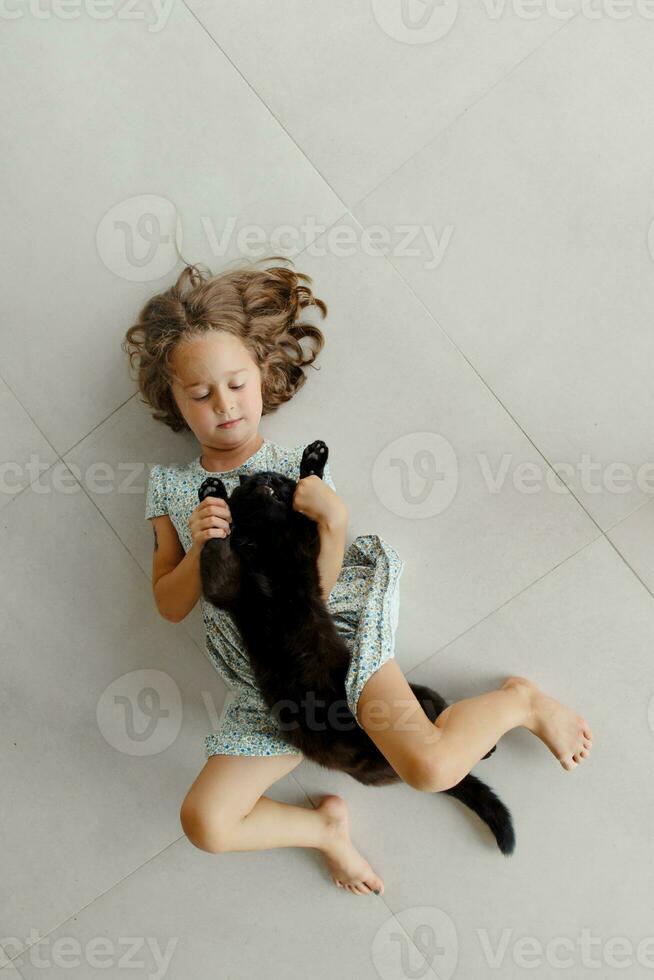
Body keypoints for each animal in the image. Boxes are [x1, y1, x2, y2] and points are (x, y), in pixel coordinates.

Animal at [200, 440, 516, 852]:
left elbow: (305, 515)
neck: (267, 545)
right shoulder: (228, 583)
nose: (270, 480)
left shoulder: (302, 552)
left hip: (415, 697)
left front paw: (312, 462)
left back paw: (485, 744)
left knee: (445, 718)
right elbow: (216, 547)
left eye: (279, 481)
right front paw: (212, 496)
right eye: (256, 483)